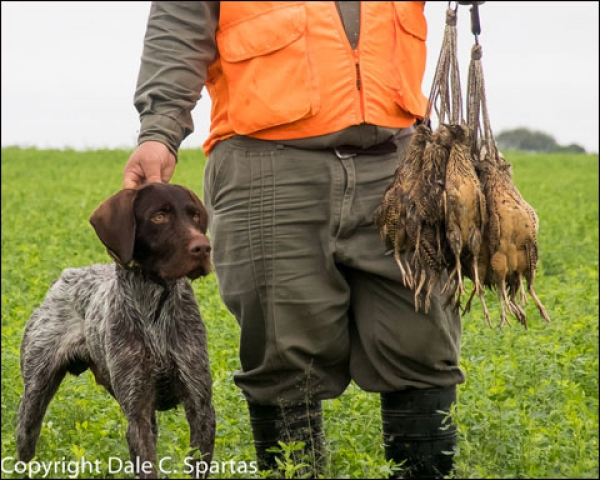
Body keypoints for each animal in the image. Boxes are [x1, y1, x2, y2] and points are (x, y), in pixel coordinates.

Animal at [15, 182, 218, 478]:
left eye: (194, 216)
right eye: (159, 216)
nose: (203, 248)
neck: (154, 305)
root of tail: (64, 277)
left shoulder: (200, 406)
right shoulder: (138, 413)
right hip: (33, 398)